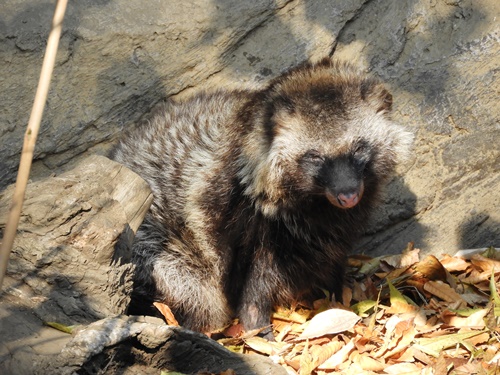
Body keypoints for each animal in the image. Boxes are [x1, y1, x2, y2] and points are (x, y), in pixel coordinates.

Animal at [112, 58, 414, 334]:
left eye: (360, 148)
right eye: (314, 157)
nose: (348, 195)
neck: (314, 204)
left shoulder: (337, 224)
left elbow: (331, 256)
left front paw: (338, 297)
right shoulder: (237, 219)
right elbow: (250, 281)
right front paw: (256, 323)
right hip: (155, 244)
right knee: (194, 289)